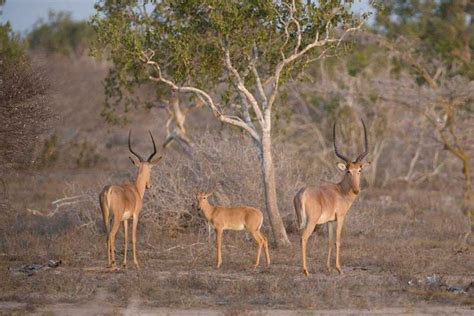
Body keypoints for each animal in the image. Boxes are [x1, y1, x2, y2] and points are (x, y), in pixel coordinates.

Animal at [98, 130, 163, 268]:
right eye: (151, 168)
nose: (149, 185)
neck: (135, 190)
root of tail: (109, 190)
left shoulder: (125, 219)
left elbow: (125, 238)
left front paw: (124, 263)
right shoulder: (135, 215)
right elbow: (133, 237)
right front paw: (136, 262)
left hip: (106, 217)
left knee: (107, 236)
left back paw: (109, 263)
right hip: (115, 218)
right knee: (112, 236)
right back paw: (113, 263)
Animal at [292, 119, 370, 276]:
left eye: (359, 170)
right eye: (348, 171)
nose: (356, 190)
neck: (340, 191)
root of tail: (302, 193)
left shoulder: (329, 221)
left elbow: (329, 241)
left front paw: (328, 268)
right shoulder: (340, 217)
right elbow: (338, 240)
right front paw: (339, 268)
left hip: (301, 221)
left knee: (299, 237)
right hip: (311, 222)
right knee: (303, 238)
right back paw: (306, 271)